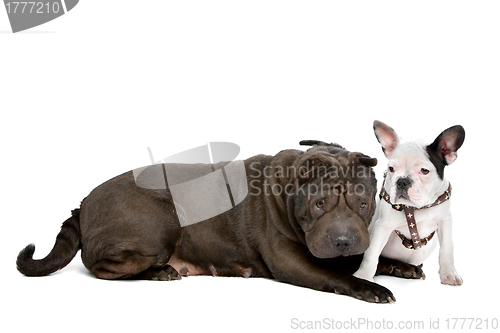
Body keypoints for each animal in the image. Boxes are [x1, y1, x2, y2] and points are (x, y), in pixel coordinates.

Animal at [354, 120, 466, 284]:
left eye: (424, 171)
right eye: (391, 169)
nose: (402, 181)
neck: (417, 208)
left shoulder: (445, 221)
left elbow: (447, 248)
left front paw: (449, 274)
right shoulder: (383, 226)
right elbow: (372, 253)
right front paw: (363, 277)